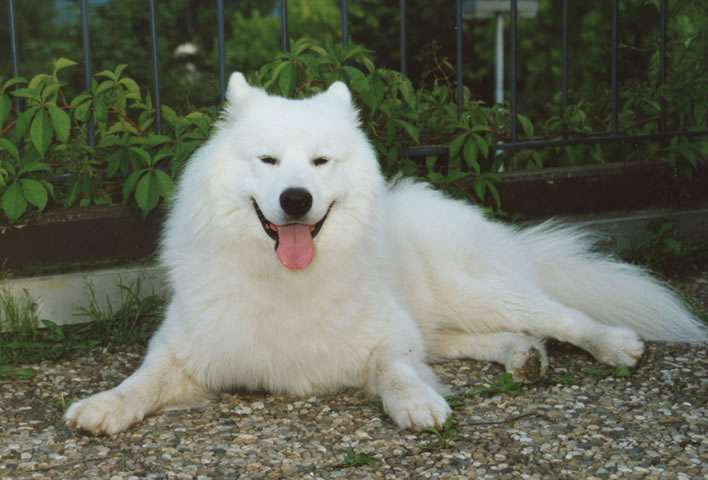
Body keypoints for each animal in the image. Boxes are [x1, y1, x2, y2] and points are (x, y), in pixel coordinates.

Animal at [65, 72, 704, 436]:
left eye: (320, 162)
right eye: (268, 160)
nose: (295, 199)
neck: (286, 279)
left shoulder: (392, 336)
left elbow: (394, 369)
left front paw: (416, 403)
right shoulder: (183, 351)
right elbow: (140, 382)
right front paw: (103, 406)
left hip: (477, 290)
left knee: (561, 315)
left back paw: (615, 345)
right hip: (450, 314)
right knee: (478, 338)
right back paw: (522, 357)